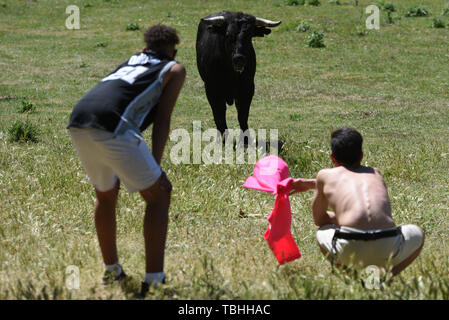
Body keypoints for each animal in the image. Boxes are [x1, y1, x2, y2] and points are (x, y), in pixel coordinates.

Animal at [195, 11, 280, 142]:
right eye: (228, 35)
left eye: (250, 36)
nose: (239, 58)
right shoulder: (212, 90)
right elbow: (219, 115)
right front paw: (223, 139)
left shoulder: (247, 89)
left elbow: (242, 115)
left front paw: (245, 139)